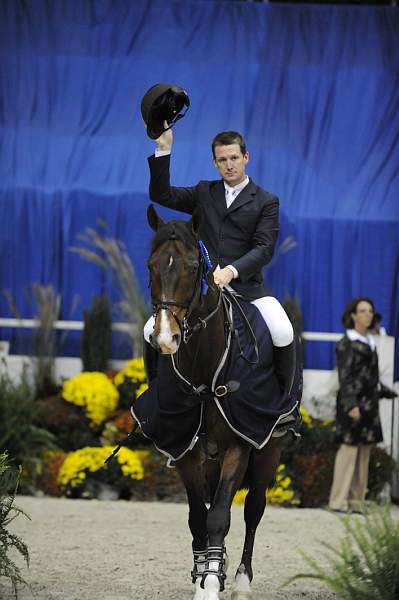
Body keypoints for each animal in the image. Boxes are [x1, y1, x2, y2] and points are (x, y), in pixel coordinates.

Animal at [139, 205, 292, 600]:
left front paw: (211, 582)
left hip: (269, 450)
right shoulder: (184, 449)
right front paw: (203, 574)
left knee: (253, 510)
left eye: (194, 266)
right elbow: (198, 517)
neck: (204, 370)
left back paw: (240, 579)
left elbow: (220, 515)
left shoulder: (241, 443)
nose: (165, 338)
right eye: (150, 264)